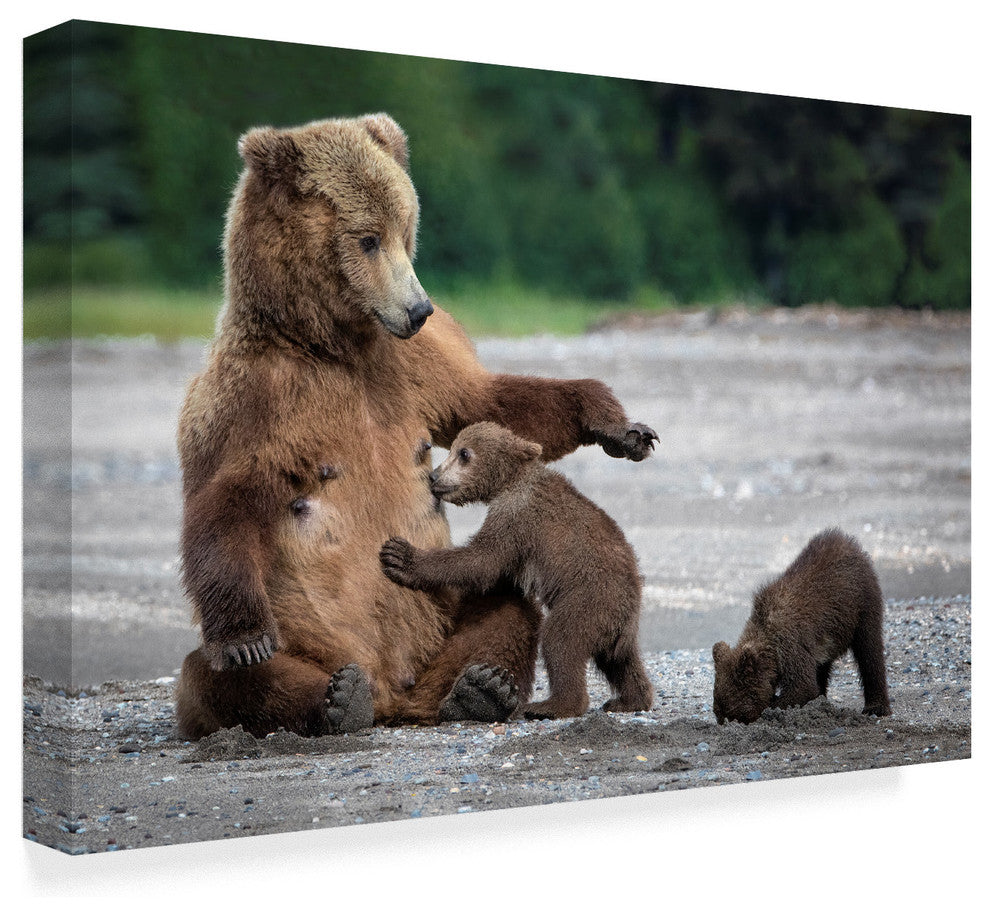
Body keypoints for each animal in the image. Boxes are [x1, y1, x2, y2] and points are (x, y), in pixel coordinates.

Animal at [379, 421, 654, 720]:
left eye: (463, 453)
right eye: (454, 448)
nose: (434, 476)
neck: (508, 482)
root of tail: (629, 610)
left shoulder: (515, 516)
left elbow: (482, 560)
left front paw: (399, 556)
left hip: (589, 600)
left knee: (561, 641)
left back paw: (551, 705)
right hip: (616, 625)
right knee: (621, 662)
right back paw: (629, 700)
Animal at [711, 528, 892, 724]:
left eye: (735, 715)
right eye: (719, 714)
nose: (725, 722)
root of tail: (846, 540)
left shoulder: (790, 642)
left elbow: (802, 686)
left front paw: (774, 705)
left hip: (862, 602)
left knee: (869, 650)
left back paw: (876, 707)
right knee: (823, 666)